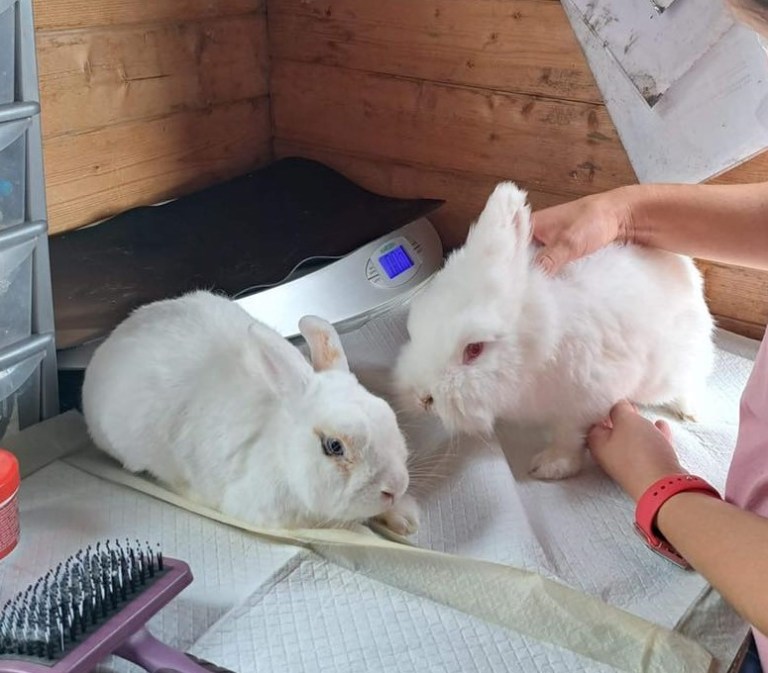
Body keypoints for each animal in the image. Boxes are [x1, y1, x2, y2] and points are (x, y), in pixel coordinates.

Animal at [393, 182, 715, 481]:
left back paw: (691, 411)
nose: (423, 398)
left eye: (474, 349)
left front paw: (550, 467)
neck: (535, 347)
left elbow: (568, 435)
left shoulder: (586, 400)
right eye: (415, 327)